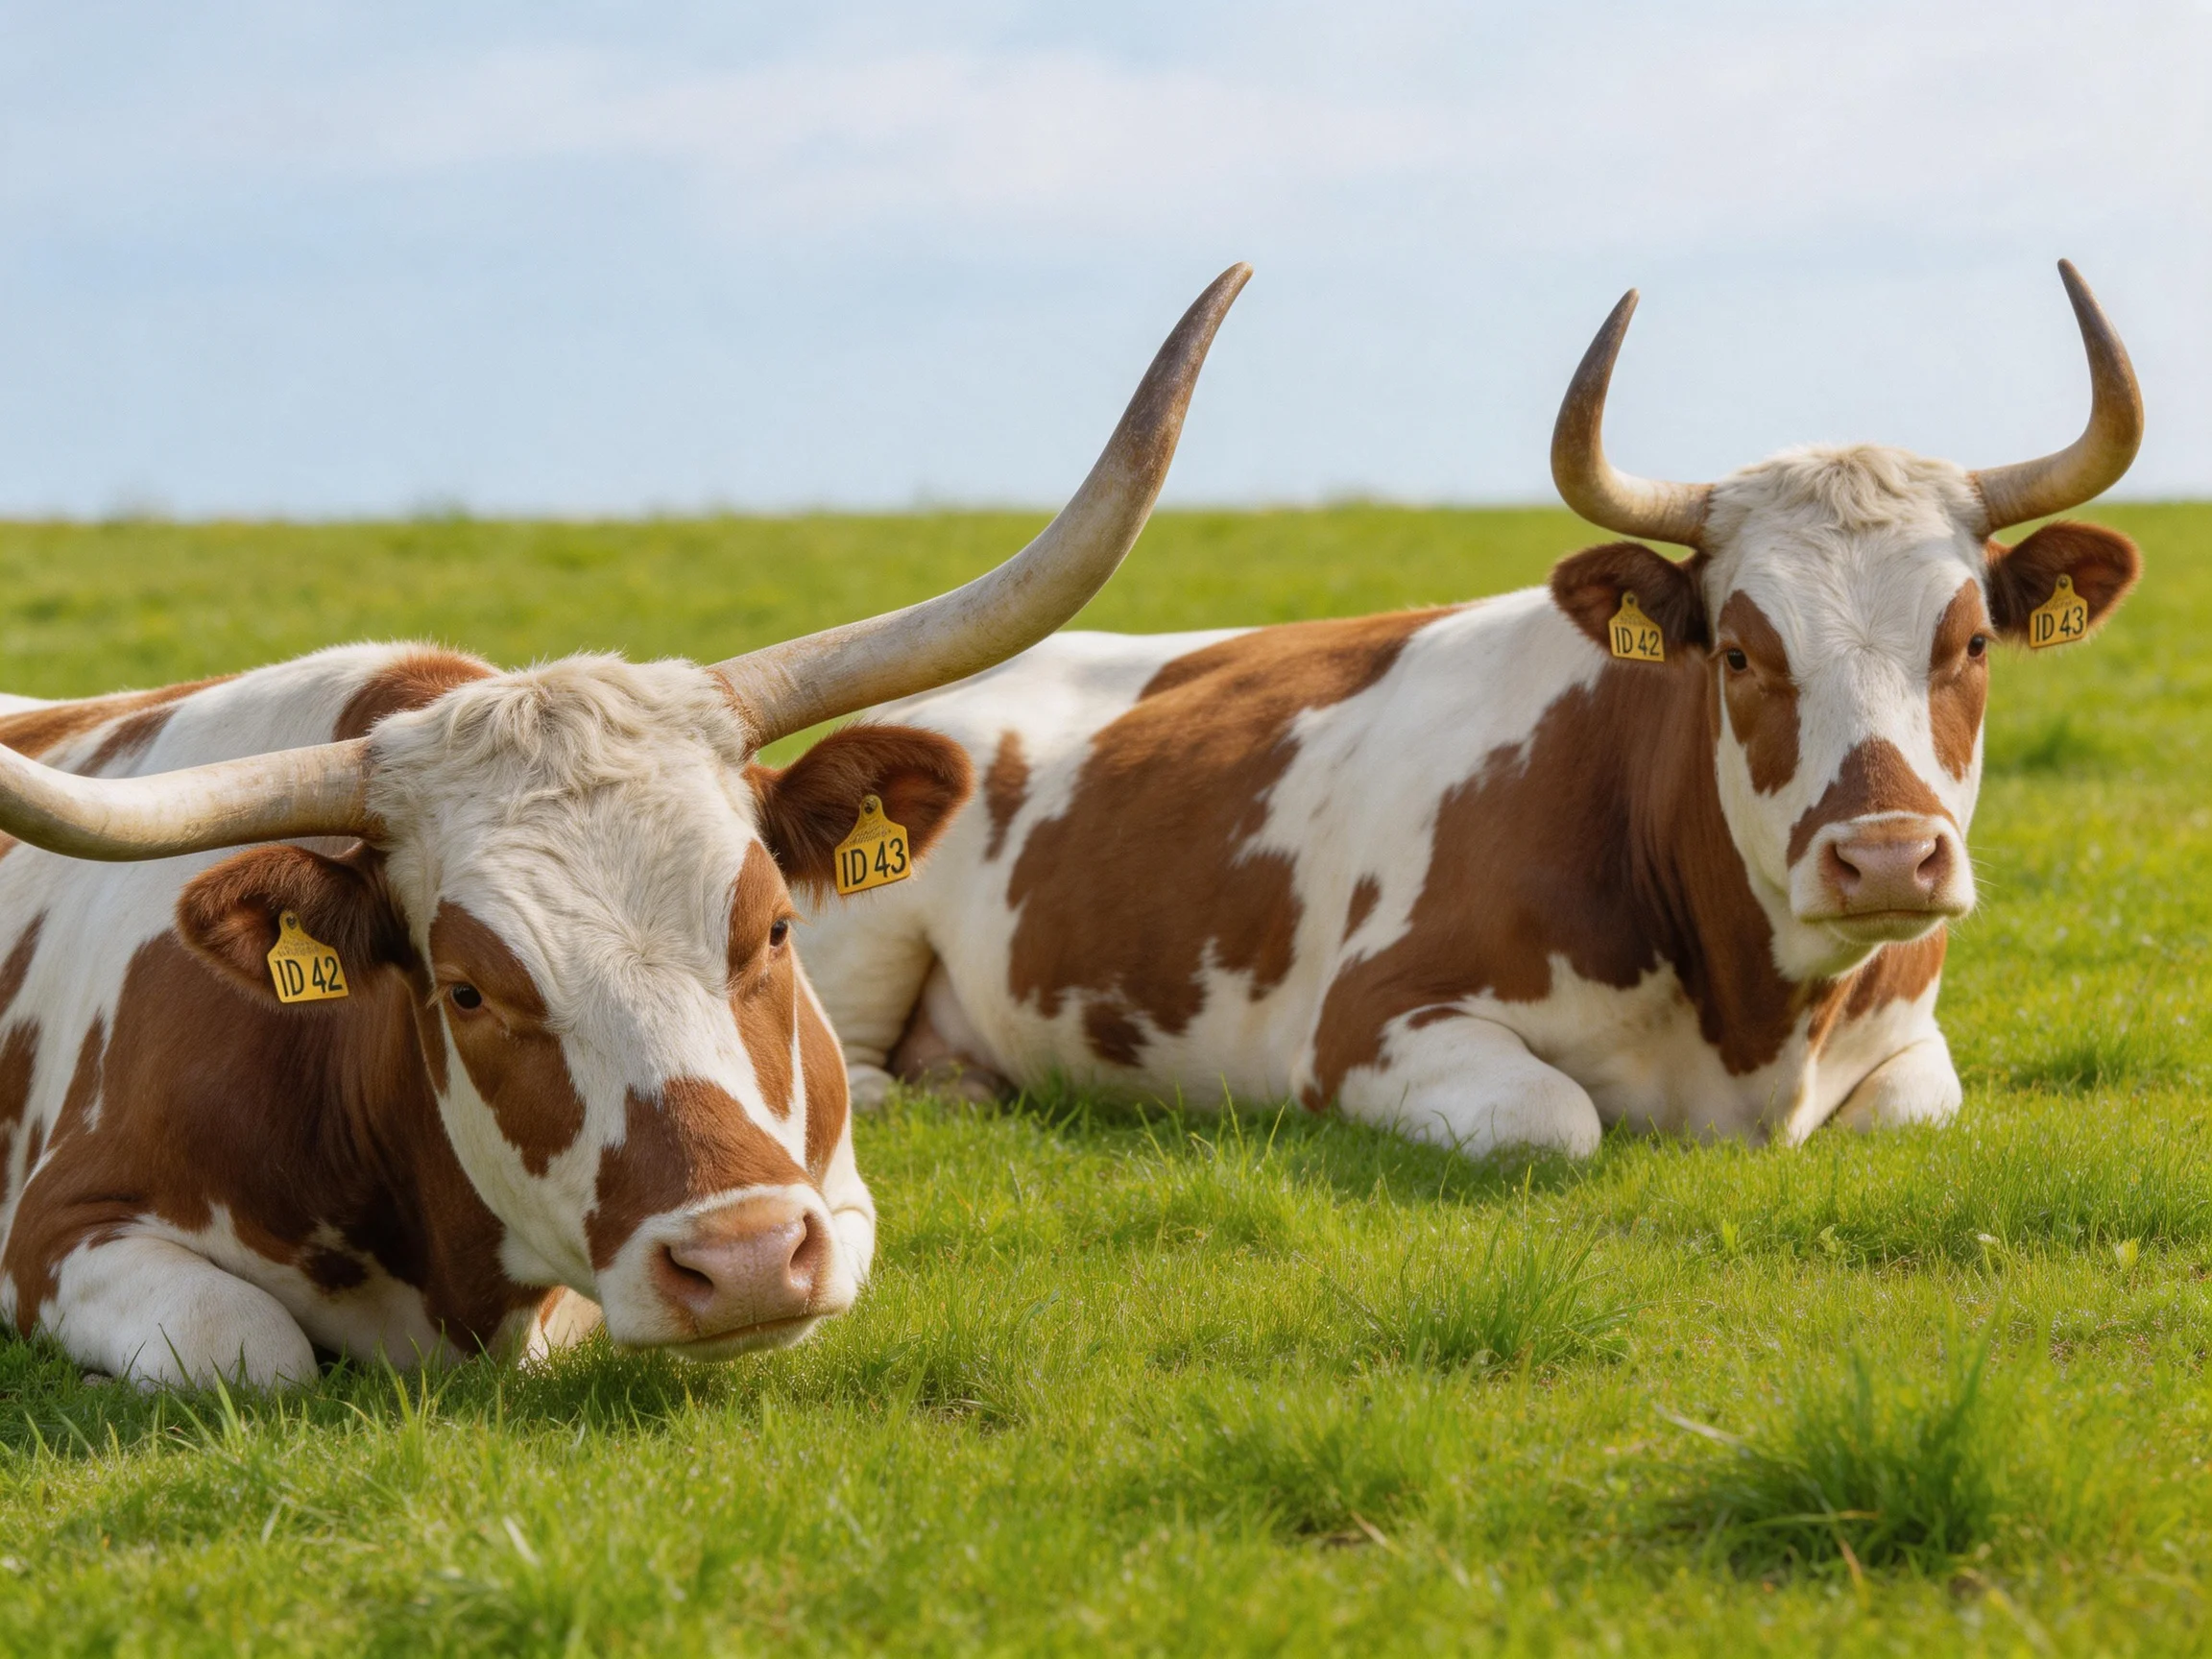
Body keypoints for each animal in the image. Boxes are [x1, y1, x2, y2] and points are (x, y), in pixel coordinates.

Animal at [0, 265, 1250, 1386]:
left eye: (776, 929)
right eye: (467, 991)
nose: (741, 1261)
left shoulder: (837, 1198)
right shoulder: (59, 1233)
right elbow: (248, 1349)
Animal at [798, 262, 2143, 1161]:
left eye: (1971, 643)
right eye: (1741, 653)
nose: (1888, 860)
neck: (1756, 1032)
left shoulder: (1914, 1057)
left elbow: (1911, 1112)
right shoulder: (1371, 1027)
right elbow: (1557, 1120)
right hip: (856, 937)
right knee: (854, 1075)